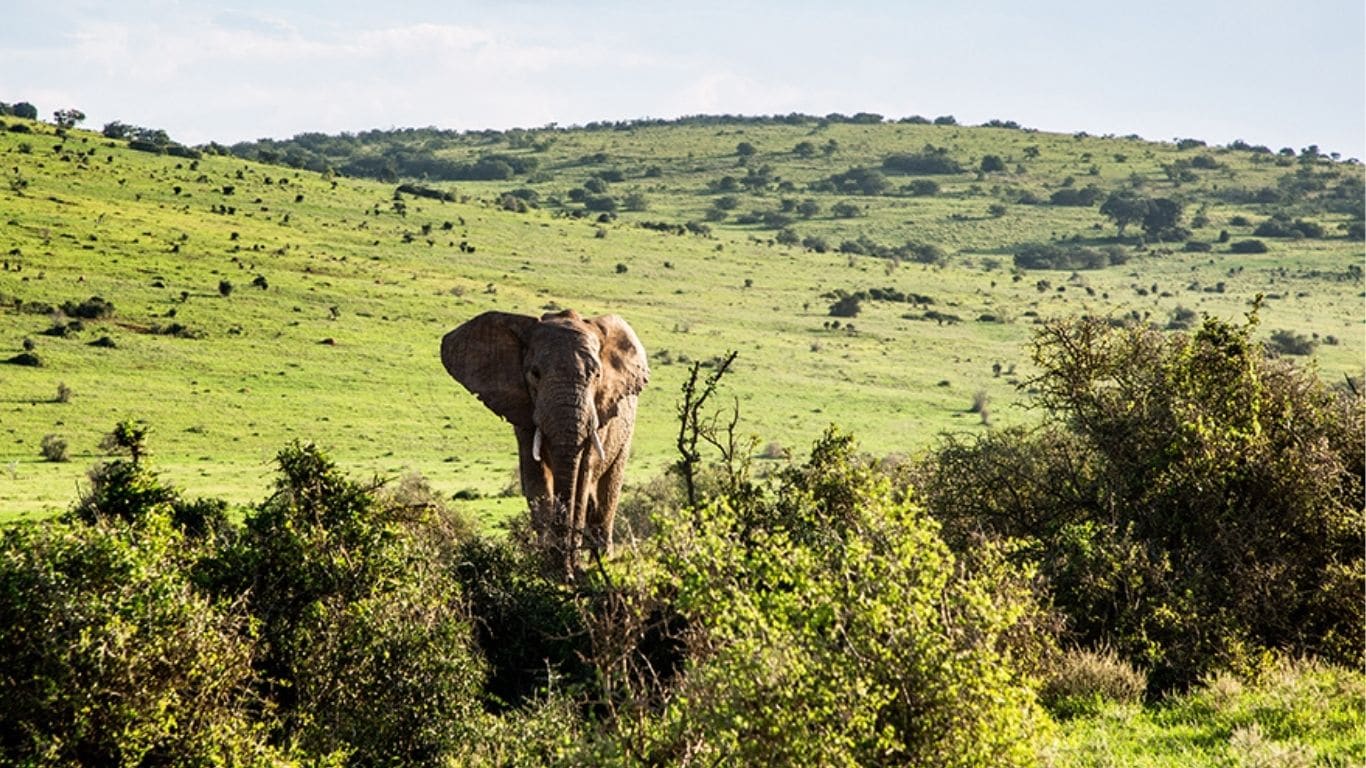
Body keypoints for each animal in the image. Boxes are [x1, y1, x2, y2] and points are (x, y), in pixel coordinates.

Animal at [439, 307, 647, 576]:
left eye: (597, 375)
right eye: (535, 374)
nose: (568, 571)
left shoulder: (599, 415)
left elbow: (583, 475)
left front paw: (571, 570)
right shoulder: (524, 412)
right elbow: (535, 475)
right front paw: (551, 568)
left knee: (606, 497)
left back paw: (604, 563)